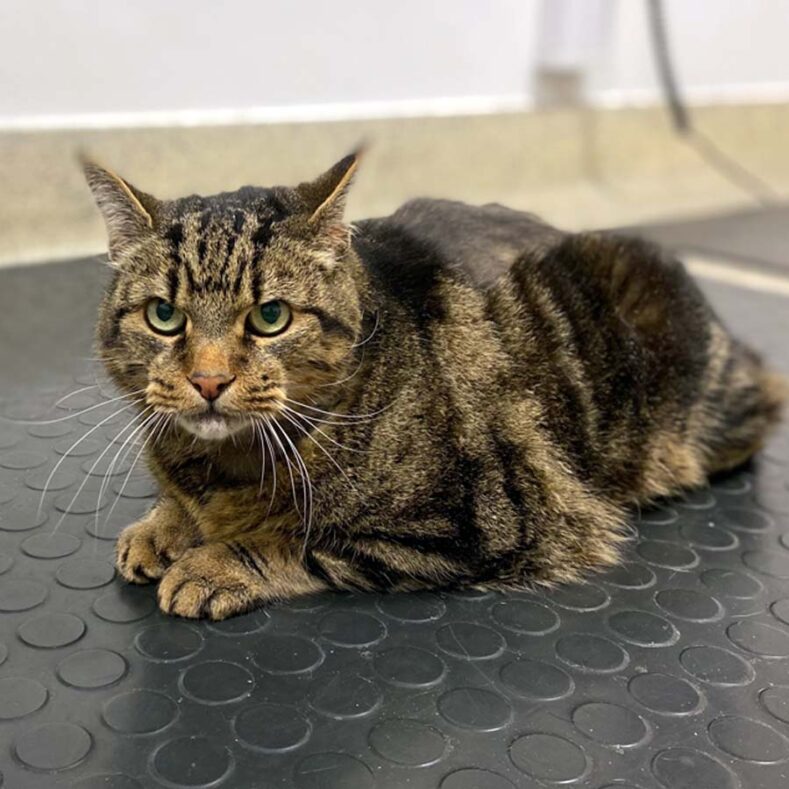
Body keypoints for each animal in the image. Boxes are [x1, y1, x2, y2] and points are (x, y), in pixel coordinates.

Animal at [83, 151, 784, 620]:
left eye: (270, 317)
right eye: (164, 316)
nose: (207, 380)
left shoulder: (476, 524)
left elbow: (291, 541)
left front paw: (213, 561)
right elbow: (183, 505)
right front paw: (163, 524)